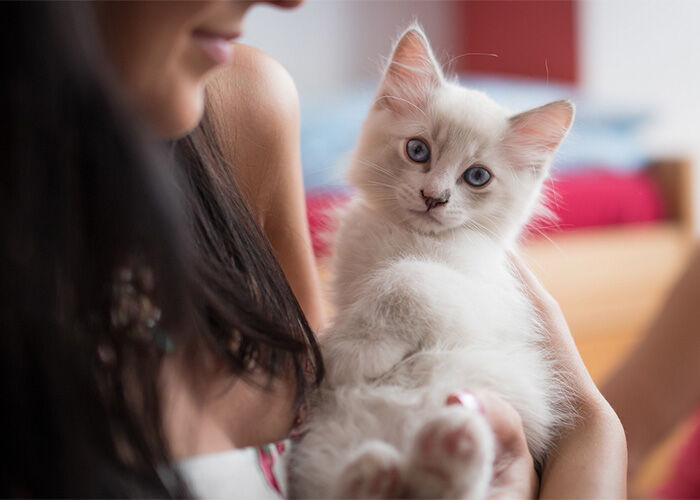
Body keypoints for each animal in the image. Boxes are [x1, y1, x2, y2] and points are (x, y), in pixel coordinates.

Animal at [288, 27, 576, 500]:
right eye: (418, 150)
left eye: (477, 177)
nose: (433, 197)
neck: (411, 237)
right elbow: (381, 287)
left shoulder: (489, 302)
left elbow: (406, 277)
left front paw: (348, 353)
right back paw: (383, 472)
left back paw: (448, 446)